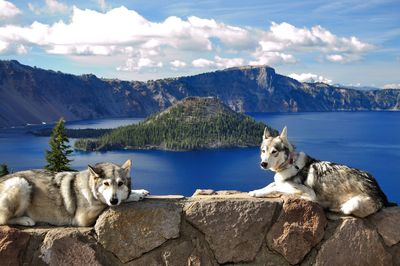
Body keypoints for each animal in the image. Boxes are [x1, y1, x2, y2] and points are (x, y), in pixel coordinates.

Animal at [0, 160, 149, 227]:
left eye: (120, 183)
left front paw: (139, 192)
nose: (113, 200)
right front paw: (134, 195)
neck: (89, 188)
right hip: (20, 183)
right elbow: (110, 203)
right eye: (106, 184)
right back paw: (25, 220)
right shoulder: (83, 218)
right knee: (4, 220)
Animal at [250, 127, 394, 218]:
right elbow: (271, 185)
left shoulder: (308, 194)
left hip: (352, 205)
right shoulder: (281, 182)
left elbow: (276, 188)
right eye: (263, 151)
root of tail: (380, 192)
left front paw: (261, 193)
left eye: (274, 151)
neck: (290, 163)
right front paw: (256, 191)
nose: (263, 164)